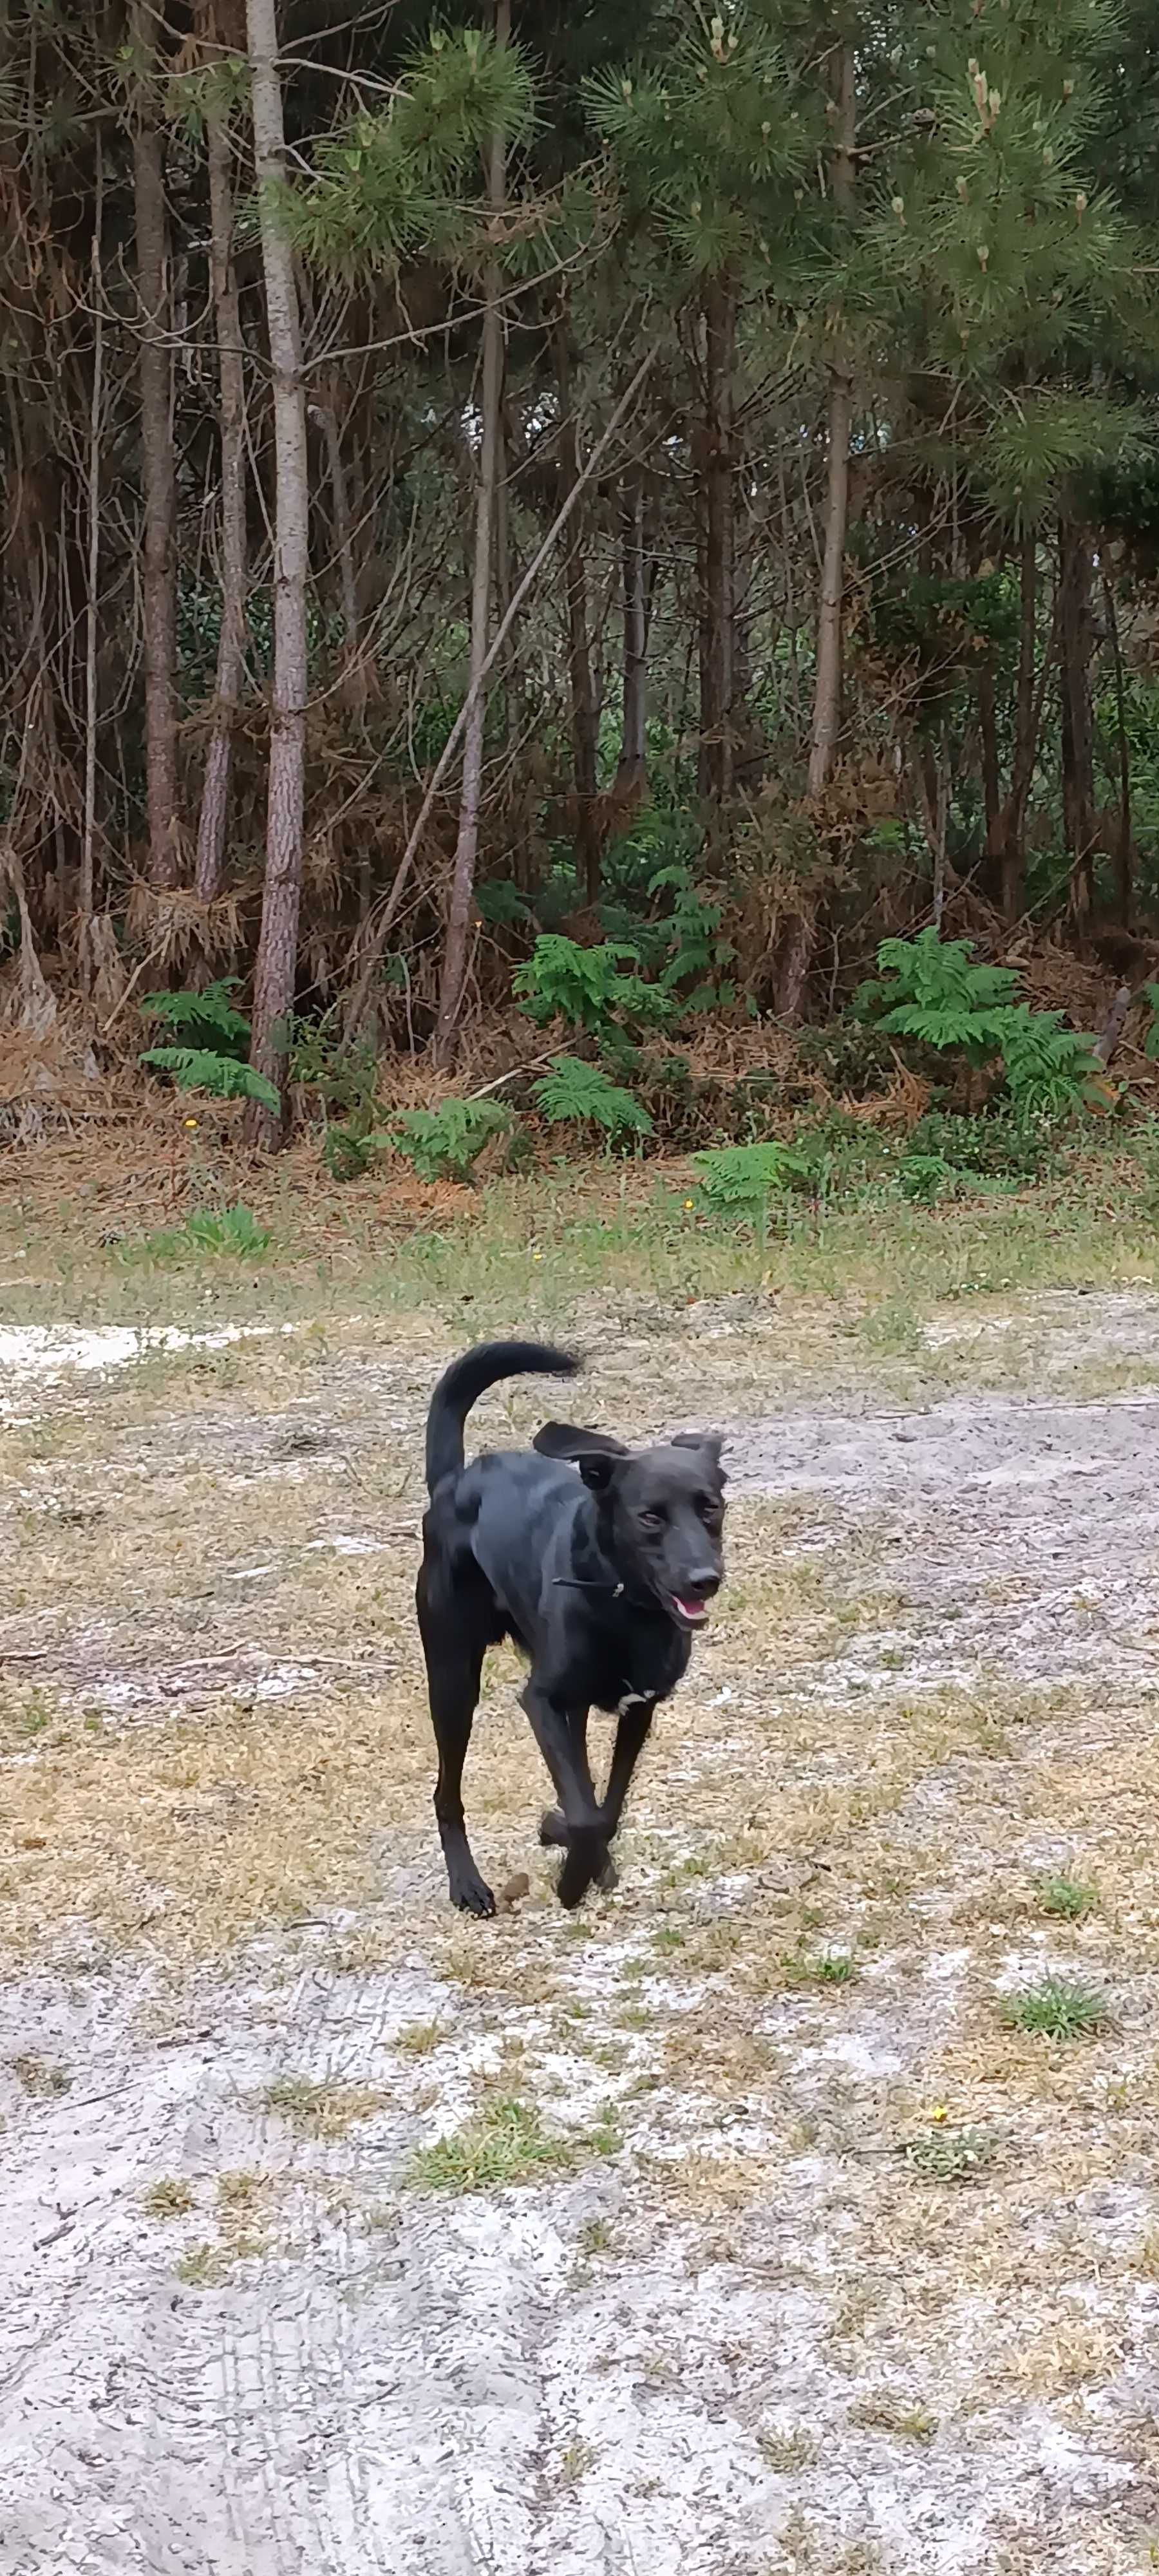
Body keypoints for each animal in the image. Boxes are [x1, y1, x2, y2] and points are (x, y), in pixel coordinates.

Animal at [417, 1350, 726, 1917]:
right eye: (650, 1517)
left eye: (710, 1507)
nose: (705, 1579)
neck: (626, 1607)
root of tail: (454, 1482)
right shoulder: (540, 1700)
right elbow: (585, 1813)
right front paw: (571, 1875)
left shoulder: (639, 1708)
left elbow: (604, 1809)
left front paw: (572, 1847)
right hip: (452, 1680)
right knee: (446, 1793)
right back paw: (468, 1885)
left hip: (568, 1706)